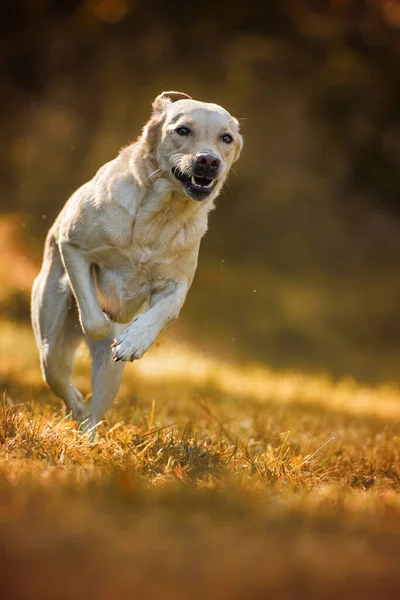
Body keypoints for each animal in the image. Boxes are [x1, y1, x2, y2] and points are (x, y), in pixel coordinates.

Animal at [31, 90, 242, 436]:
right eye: (182, 130)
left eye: (227, 138)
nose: (209, 160)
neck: (160, 214)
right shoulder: (73, 246)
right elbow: (95, 319)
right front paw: (111, 320)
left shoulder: (175, 285)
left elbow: (163, 312)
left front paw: (134, 339)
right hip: (50, 342)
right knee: (63, 380)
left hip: (110, 376)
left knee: (95, 410)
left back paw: (89, 437)